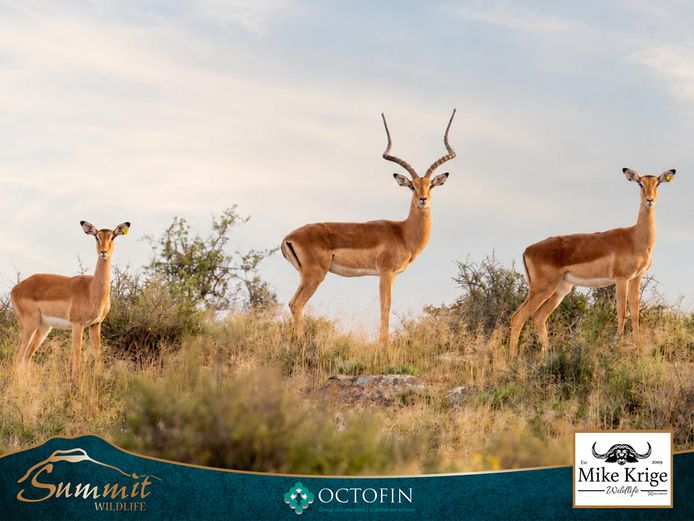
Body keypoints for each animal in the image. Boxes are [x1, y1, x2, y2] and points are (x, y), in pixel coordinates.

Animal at [12, 221, 130, 381]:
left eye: (112, 237)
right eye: (96, 237)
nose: (103, 252)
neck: (91, 289)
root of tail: (16, 288)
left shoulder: (95, 324)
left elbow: (97, 353)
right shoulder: (77, 324)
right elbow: (77, 353)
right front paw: (75, 381)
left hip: (44, 327)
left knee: (27, 356)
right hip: (30, 325)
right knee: (18, 355)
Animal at [281, 110, 457, 342]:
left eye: (430, 186)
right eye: (411, 186)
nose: (423, 199)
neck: (403, 233)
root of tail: (287, 238)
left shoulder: (391, 275)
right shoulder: (386, 272)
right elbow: (385, 307)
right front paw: (384, 345)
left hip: (306, 276)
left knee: (293, 303)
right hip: (315, 275)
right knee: (296, 304)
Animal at [509, 168, 676, 355]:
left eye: (657, 183)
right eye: (640, 183)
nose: (650, 200)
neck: (635, 238)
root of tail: (527, 250)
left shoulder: (636, 278)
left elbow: (635, 313)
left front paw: (637, 348)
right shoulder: (621, 279)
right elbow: (622, 312)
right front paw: (616, 345)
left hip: (560, 290)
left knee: (538, 318)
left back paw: (546, 355)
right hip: (542, 289)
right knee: (517, 317)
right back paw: (513, 358)